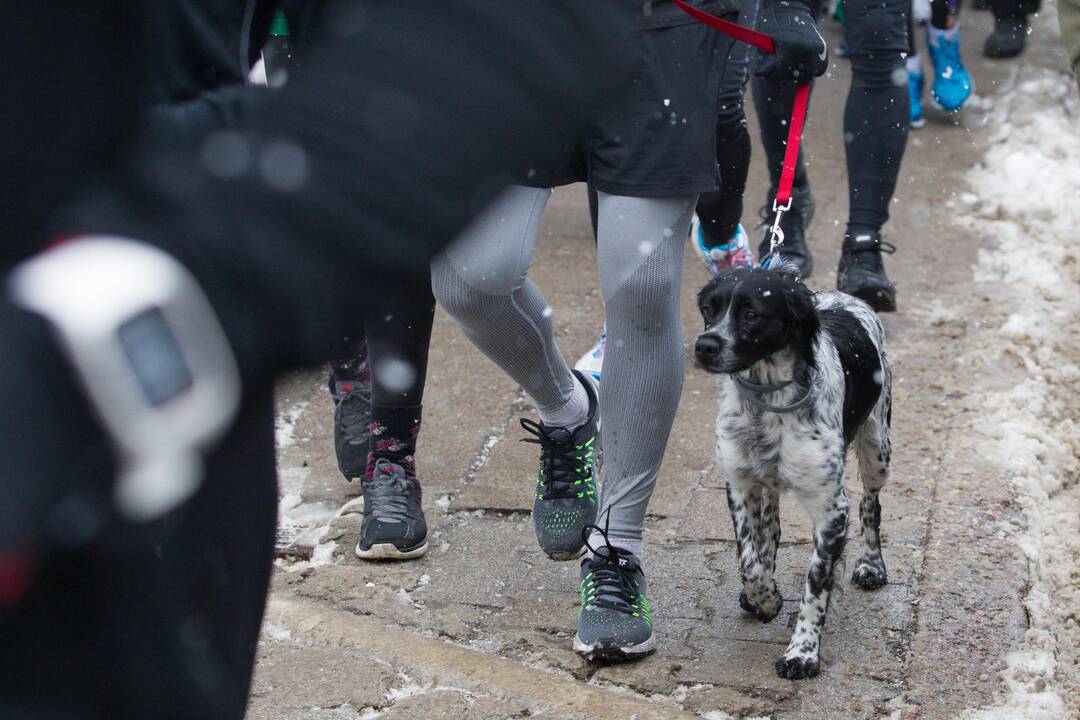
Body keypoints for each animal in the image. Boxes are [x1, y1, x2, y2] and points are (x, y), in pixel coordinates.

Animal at [691, 266, 894, 682]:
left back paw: (871, 565)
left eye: (752, 314)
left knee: (871, 504)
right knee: (770, 529)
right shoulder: (740, 484)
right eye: (708, 309)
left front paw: (802, 652)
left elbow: (816, 586)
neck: (766, 401)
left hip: (878, 448)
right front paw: (766, 599)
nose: (705, 345)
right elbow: (749, 560)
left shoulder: (832, 508)